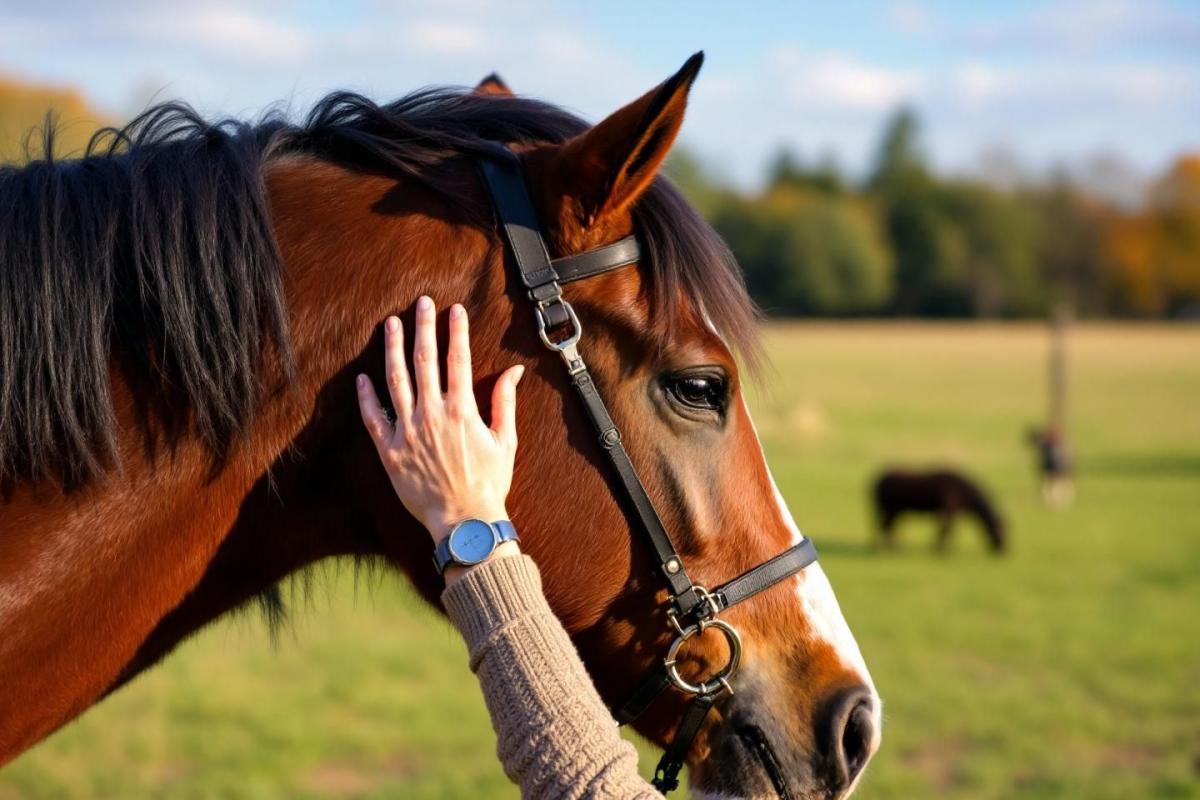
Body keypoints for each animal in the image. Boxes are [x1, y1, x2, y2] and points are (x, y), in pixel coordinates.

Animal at [872, 468, 1007, 553]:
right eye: (1001, 533)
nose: (1005, 551)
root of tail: (880, 480)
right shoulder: (948, 511)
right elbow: (945, 530)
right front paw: (940, 550)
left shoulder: (951, 512)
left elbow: (946, 530)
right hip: (891, 510)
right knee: (885, 526)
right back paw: (889, 548)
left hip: (893, 512)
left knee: (886, 526)